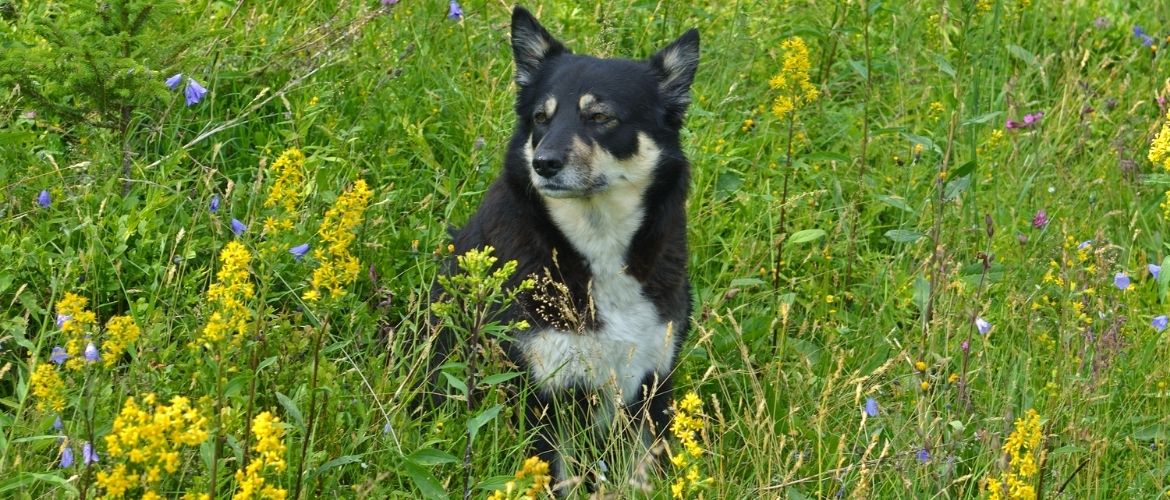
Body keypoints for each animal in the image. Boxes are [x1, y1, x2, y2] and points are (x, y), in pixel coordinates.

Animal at [432, 6, 697, 494]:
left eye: (601, 117)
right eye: (541, 117)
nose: (544, 164)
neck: (596, 249)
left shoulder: (651, 385)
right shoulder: (544, 397)